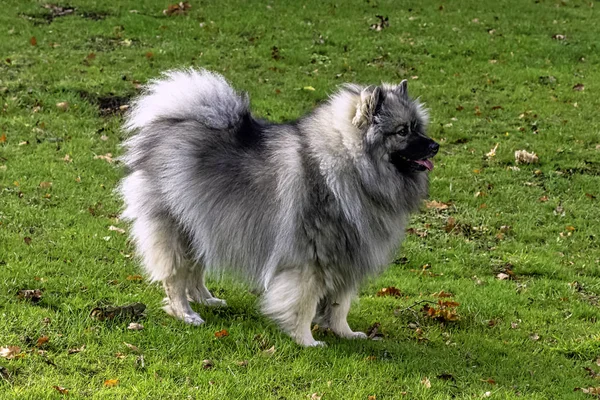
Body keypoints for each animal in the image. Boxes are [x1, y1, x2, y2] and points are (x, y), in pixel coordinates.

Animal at [117, 67, 438, 346]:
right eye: (402, 131)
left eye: (418, 128)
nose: (435, 146)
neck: (349, 166)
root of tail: (167, 125)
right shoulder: (310, 260)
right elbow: (304, 304)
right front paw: (307, 341)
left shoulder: (345, 255)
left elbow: (339, 304)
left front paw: (345, 333)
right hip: (177, 229)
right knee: (175, 278)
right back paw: (185, 313)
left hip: (203, 225)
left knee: (195, 272)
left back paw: (207, 299)